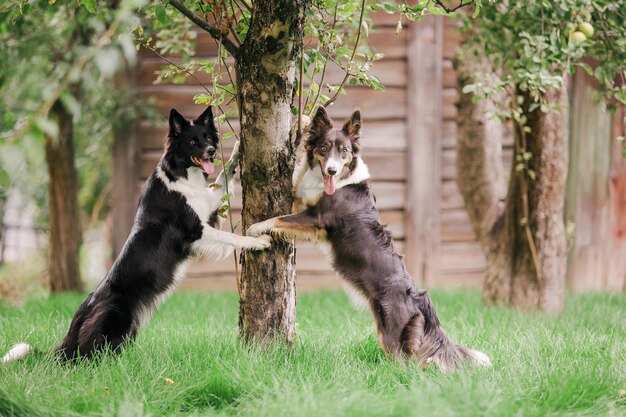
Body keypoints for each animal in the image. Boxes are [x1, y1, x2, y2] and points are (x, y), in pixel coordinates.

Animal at [2, 105, 270, 362]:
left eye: (207, 137)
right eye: (193, 141)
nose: (213, 150)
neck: (180, 173)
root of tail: (78, 319)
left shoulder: (207, 205)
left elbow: (223, 176)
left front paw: (237, 151)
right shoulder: (194, 231)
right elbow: (232, 237)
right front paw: (257, 241)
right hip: (114, 319)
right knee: (84, 357)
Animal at [246, 106, 490, 370]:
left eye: (344, 152)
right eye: (324, 147)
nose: (332, 170)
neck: (339, 179)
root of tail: (420, 299)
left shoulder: (317, 218)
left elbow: (278, 219)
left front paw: (254, 228)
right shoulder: (304, 204)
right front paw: (305, 119)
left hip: (391, 333)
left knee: (405, 364)